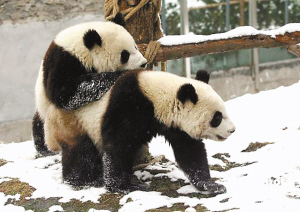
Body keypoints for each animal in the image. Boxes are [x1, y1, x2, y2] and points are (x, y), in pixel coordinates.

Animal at [32, 13, 147, 155]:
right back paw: (45, 149)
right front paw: (120, 74)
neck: (83, 48)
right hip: (45, 111)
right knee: (39, 126)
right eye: (124, 55)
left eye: (135, 46)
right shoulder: (64, 60)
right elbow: (65, 93)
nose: (143, 63)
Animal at [47, 69, 234, 195]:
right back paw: (83, 179)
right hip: (73, 121)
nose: (232, 130)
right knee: (81, 151)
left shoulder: (175, 126)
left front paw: (211, 185)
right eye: (217, 117)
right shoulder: (128, 104)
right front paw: (122, 186)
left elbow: (190, 152)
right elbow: (118, 145)